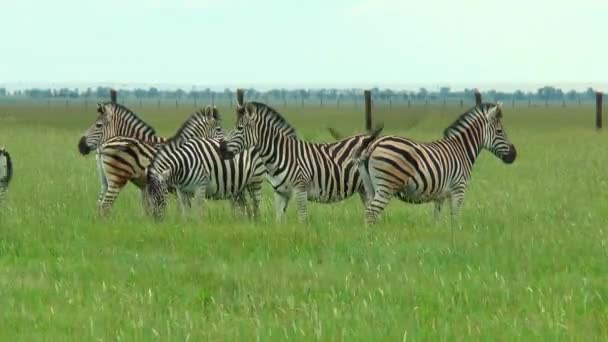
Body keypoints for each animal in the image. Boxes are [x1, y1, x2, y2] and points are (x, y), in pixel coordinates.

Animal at [78, 101, 226, 214]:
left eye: (98, 125)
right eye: (219, 129)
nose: (81, 146)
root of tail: (102, 147)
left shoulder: (147, 187)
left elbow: (151, 208)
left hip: (105, 180)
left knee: (100, 205)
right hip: (116, 178)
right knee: (105, 206)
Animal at [217, 101, 380, 222]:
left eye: (239, 128)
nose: (221, 149)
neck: (280, 155)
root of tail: (372, 138)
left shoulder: (300, 189)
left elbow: (302, 219)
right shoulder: (280, 193)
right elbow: (279, 221)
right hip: (363, 188)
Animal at [354, 101, 516, 224]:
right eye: (500, 131)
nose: (514, 155)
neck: (462, 149)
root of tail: (374, 144)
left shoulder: (440, 196)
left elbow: (436, 219)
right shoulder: (459, 189)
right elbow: (455, 218)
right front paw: (456, 237)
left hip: (370, 187)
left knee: (369, 211)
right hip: (387, 185)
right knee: (371, 212)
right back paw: (372, 239)